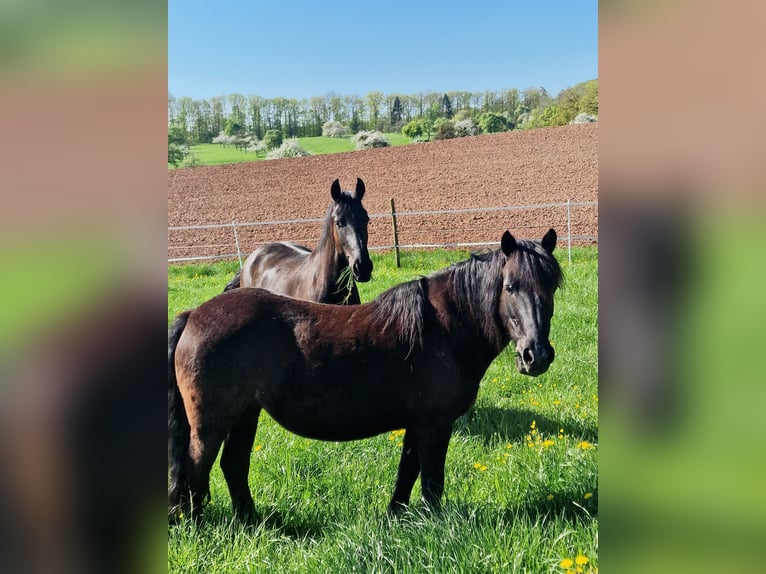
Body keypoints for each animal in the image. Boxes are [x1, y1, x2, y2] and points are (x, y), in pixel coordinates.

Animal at [168, 228, 562, 520]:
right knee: (194, 469)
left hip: (245, 414)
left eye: (552, 287)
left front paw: (396, 517)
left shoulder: (417, 423)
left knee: (233, 465)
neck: (444, 327)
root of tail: (193, 315)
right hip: (212, 423)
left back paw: (251, 522)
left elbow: (407, 473)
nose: (536, 355)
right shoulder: (435, 424)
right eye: (510, 287)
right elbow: (432, 481)